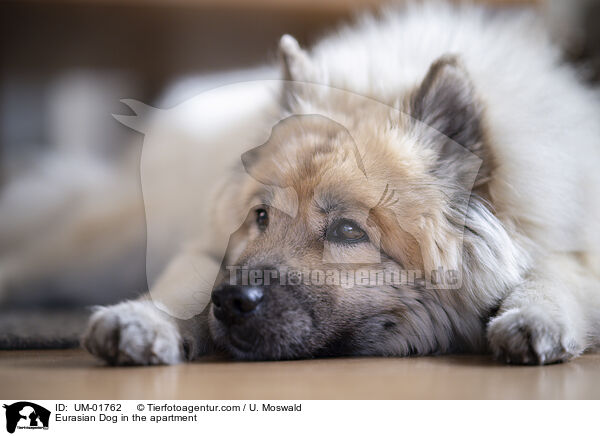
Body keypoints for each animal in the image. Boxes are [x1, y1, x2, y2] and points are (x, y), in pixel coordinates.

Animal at [81, 2, 600, 364]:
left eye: (348, 231)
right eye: (261, 217)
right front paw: (140, 319)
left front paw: (534, 316)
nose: (230, 301)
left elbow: (557, 272)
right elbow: (185, 284)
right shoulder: (208, 249)